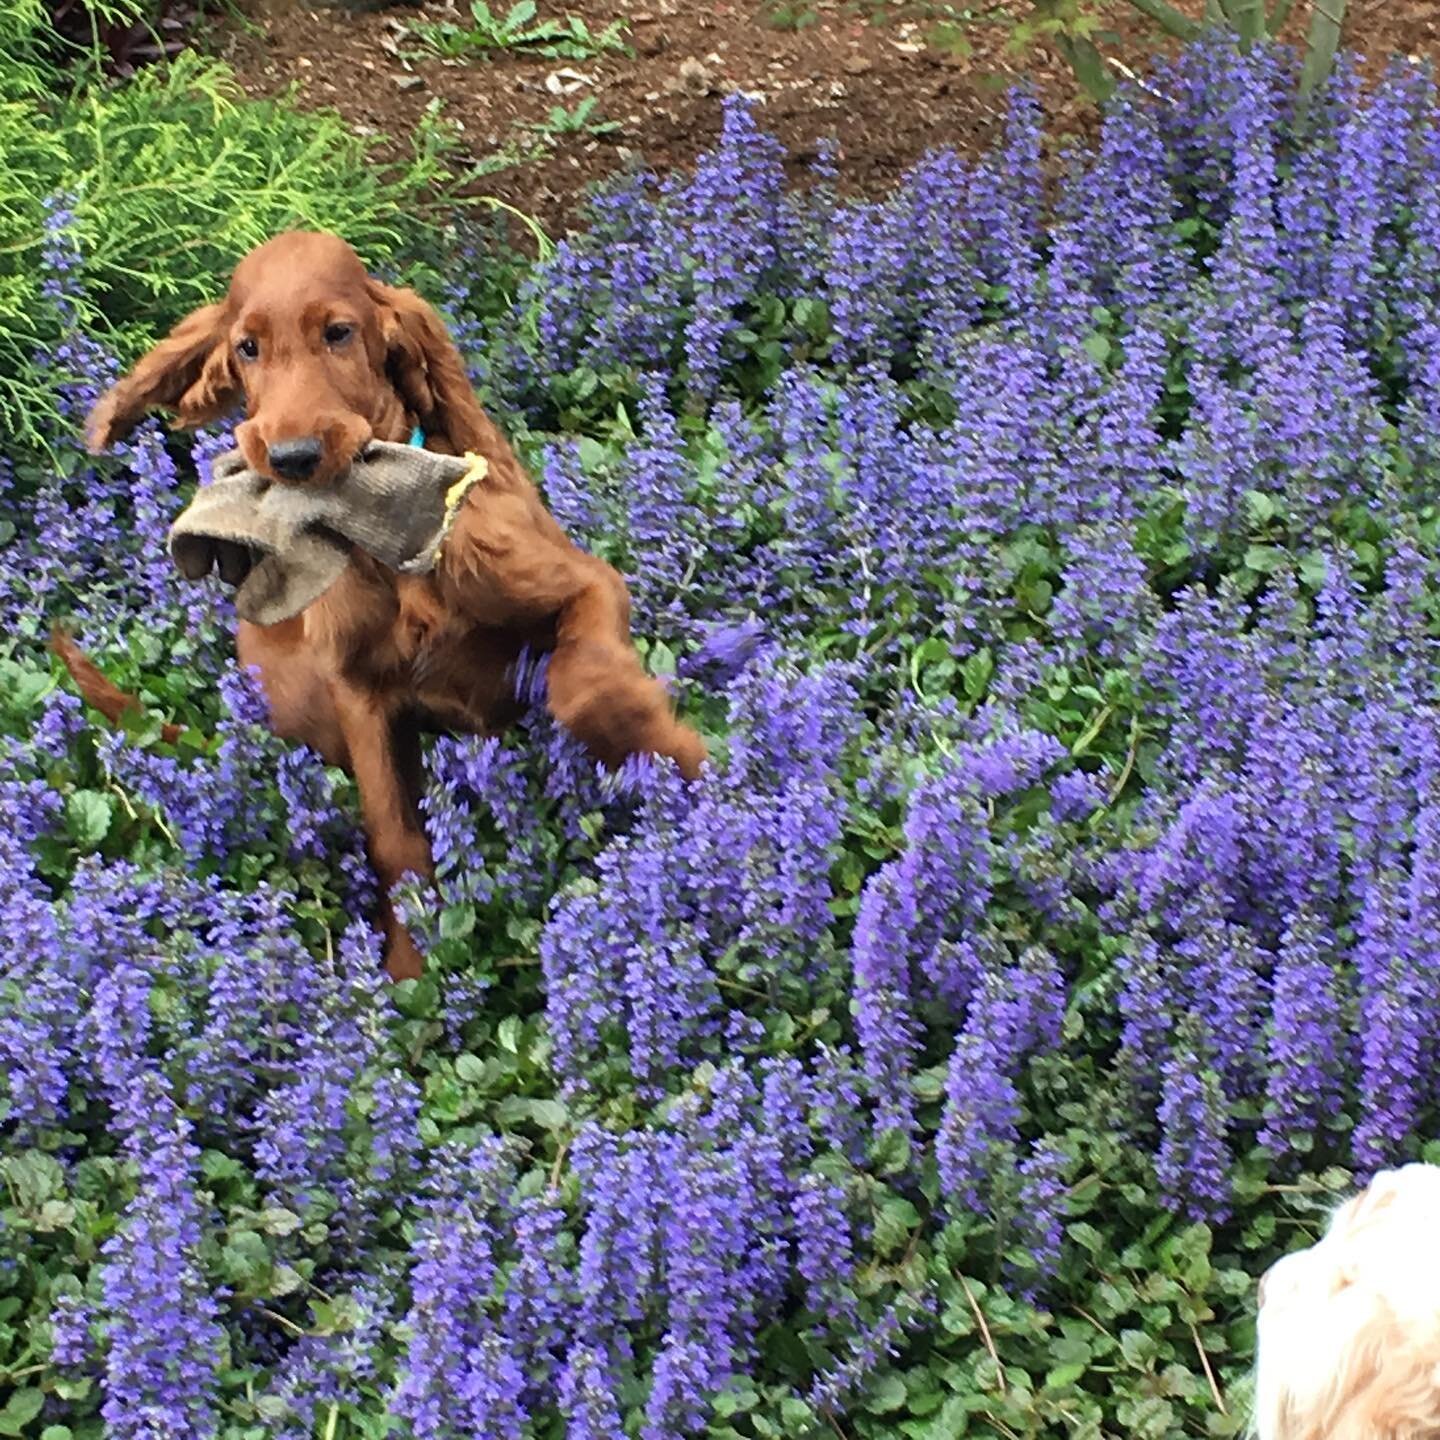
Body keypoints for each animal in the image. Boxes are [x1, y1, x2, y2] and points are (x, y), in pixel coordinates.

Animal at [70, 230, 705, 984]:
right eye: (248, 347)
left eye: (339, 333)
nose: (291, 456)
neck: (387, 547)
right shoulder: (360, 694)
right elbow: (395, 836)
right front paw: (410, 970)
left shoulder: (585, 583)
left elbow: (588, 686)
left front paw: (680, 763)